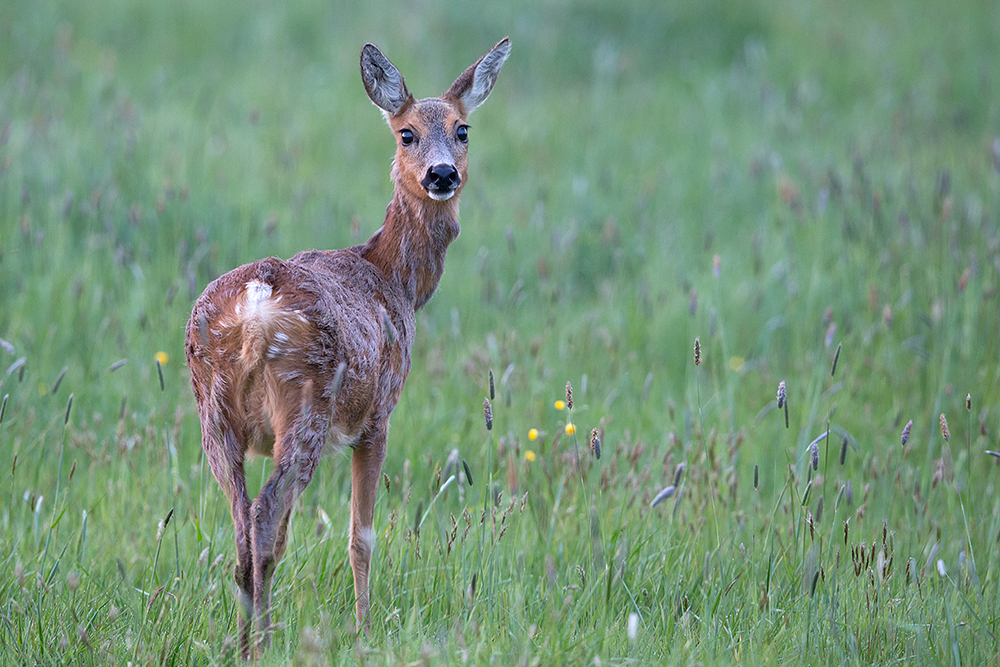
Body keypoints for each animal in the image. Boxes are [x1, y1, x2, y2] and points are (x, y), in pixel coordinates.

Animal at [185, 37, 512, 656]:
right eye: (406, 133)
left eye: (463, 129)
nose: (441, 174)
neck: (395, 278)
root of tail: (255, 308)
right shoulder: (378, 414)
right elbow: (363, 535)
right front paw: (364, 629)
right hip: (307, 402)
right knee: (264, 514)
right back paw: (262, 644)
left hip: (213, 412)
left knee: (244, 526)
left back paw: (245, 643)